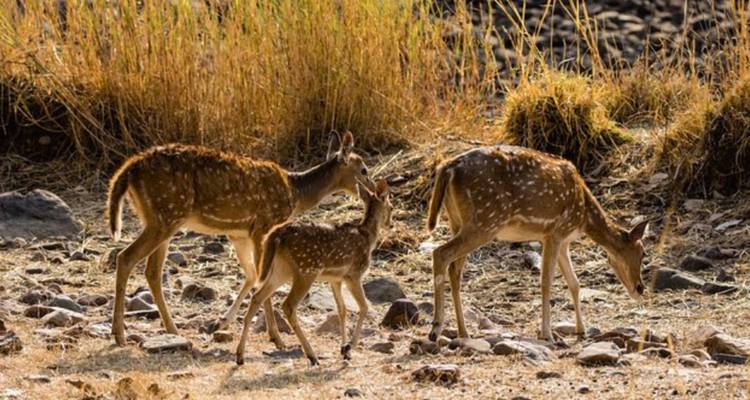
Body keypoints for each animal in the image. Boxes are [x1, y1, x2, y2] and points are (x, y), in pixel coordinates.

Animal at [106, 131, 375, 346]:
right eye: (363, 169)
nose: (373, 191)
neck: (295, 192)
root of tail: (129, 169)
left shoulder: (238, 233)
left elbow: (252, 275)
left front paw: (222, 322)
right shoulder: (264, 225)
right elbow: (261, 280)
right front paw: (276, 338)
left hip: (159, 219)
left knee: (152, 271)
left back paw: (171, 329)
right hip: (165, 216)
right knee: (126, 257)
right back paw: (120, 335)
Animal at [235, 179, 393, 366]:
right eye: (391, 206)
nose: (391, 224)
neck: (368, 237)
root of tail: (277, 234)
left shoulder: (335, 279)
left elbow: (342, 309)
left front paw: (344, 350)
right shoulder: (353, 274)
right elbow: (364, 307)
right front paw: (349, 346)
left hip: (281, 269)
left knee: (257, 296)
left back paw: (240, 355)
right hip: (307, 270)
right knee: (287, 305)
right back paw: (312, 355)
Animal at [425, 145, 648, 342]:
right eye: (643, 252)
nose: (640, 288)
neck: (584, 216)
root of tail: (447, 167)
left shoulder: (563, 241)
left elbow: (574, 283)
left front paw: (581, 330)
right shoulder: (555, 232)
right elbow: (546, 282)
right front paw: (547, 334)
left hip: (457, 221)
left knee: (455, 270)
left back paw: (463, 332)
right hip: (485, 221)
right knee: (440, 253)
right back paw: (435, 329)